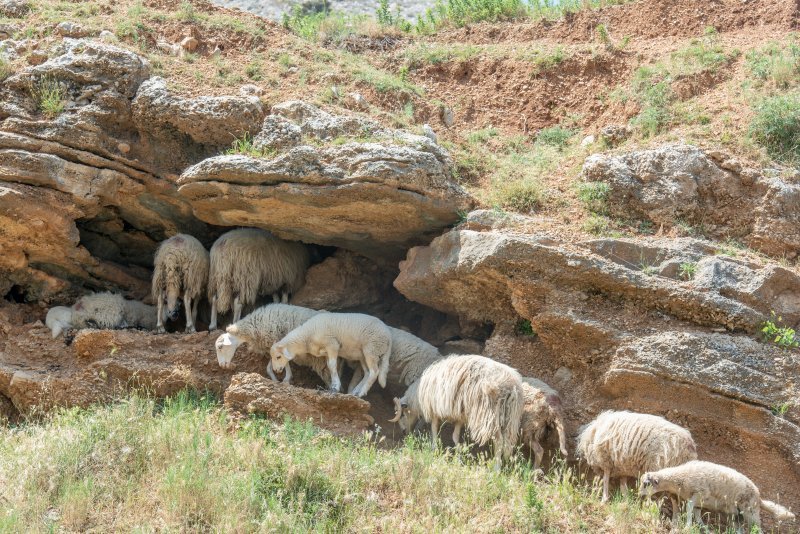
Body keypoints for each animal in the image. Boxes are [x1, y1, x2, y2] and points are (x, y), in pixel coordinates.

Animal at [392, 358, 528, 472]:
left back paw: (496, 469)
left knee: (498, 441)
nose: (404, 432)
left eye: (402, 415)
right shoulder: (459, 417)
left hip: (489, 414)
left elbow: (434, 430)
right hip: (510, 416)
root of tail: (512, 387)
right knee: (507, 441)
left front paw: (434, 449)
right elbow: (455, 436)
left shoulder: (434, 410)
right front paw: (459, 455)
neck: (417, 396)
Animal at [636, 460, 792, 532]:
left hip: (750, 510)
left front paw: (687, 526)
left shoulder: (698, 493)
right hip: (736, 515)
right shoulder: (698, 502)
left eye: (646, 484)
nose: (639, 496)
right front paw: (704, 529)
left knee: (758, 528)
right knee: (740, 530)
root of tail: (759, 499)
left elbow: (689, 510)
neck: (679, 478)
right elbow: (696, 515)